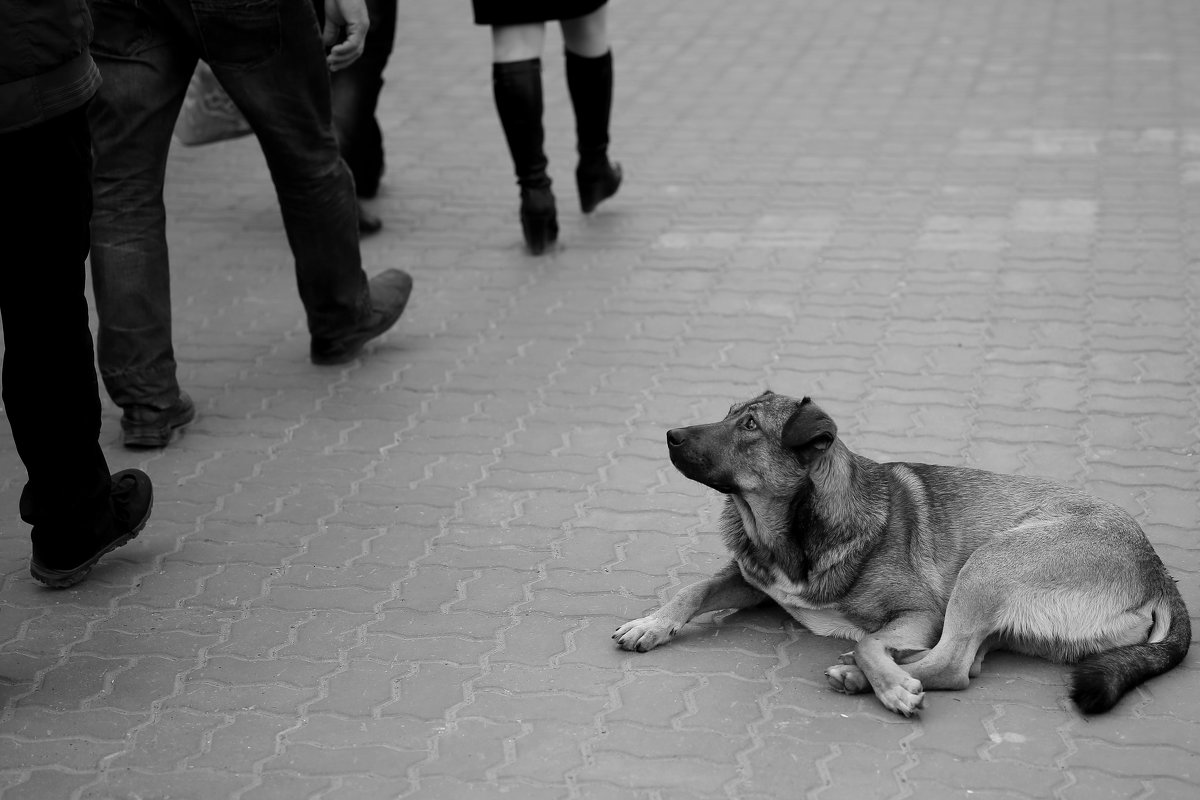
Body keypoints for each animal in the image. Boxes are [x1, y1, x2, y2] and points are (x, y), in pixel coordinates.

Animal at [619, 391, 1190, 714]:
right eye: (731, 415)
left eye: (751, 426)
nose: (670, 435)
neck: (794, 529)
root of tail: (1158, 571)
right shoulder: (752, 579)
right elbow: (696, 588)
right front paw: (651, 623)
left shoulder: (921, 612)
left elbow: (873, 641)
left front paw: (887, 682)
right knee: (968, 662)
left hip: (988, 564)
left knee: (955, 665)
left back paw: (867, 676)